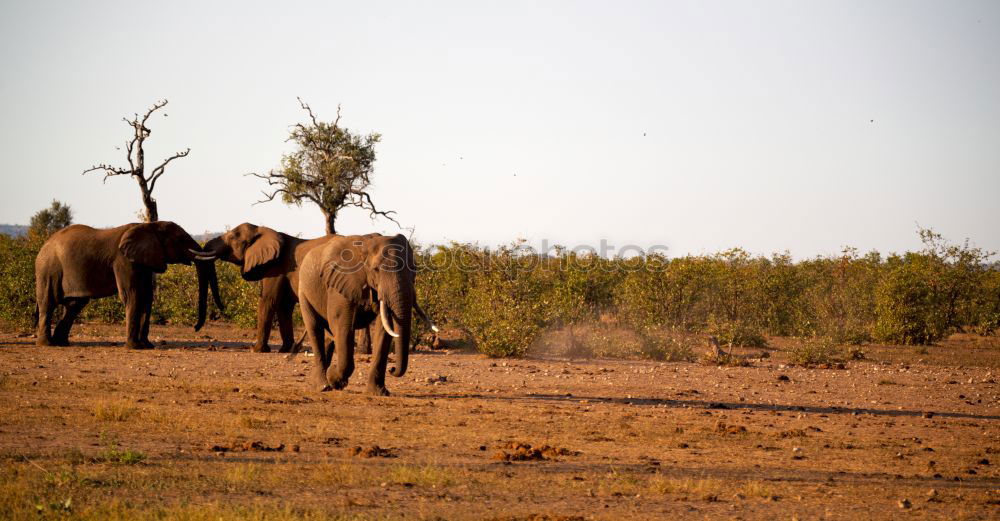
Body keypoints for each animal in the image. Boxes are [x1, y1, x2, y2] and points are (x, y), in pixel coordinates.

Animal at [35, 220, 225, 350]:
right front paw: (135, 347)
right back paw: (47, 344)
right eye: (180, 239)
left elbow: (147, 297)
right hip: (48, 269)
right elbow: (132, 294)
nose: (195, 328)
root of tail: (44, 245)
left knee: (74, 305)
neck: (149, 226)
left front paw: (147, 346)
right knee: (49, 302)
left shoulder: (144, 261)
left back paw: (61, 343)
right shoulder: (123, 260)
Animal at [201, 221, 338, 352]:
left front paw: (256, 350)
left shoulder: (275, 268)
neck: (261, 230)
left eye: (232, 237)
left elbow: (268, 300)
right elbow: (283, 306)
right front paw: (285, 350)